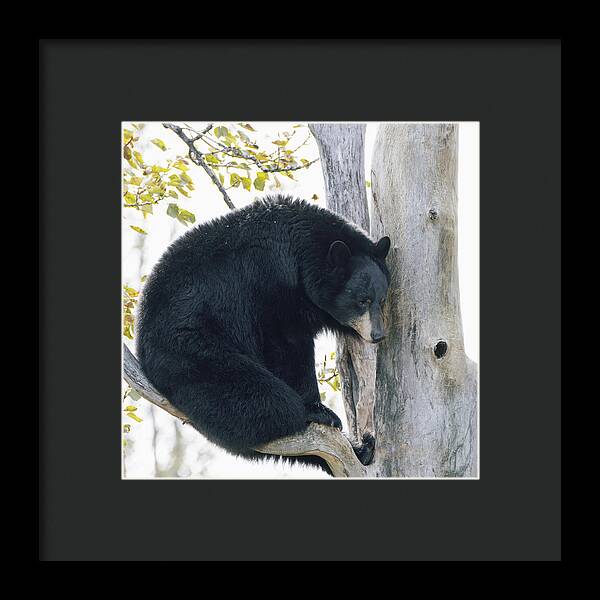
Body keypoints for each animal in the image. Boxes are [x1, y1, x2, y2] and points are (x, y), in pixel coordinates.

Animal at [135, 195, 390, 472]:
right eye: (362, 300)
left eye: (381, 299)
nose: (378, 335)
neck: (300, 254)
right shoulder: (270, 282)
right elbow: (286, 345)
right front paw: (318, 408)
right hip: (192, 349)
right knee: (266, 400)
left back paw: (362, 449)